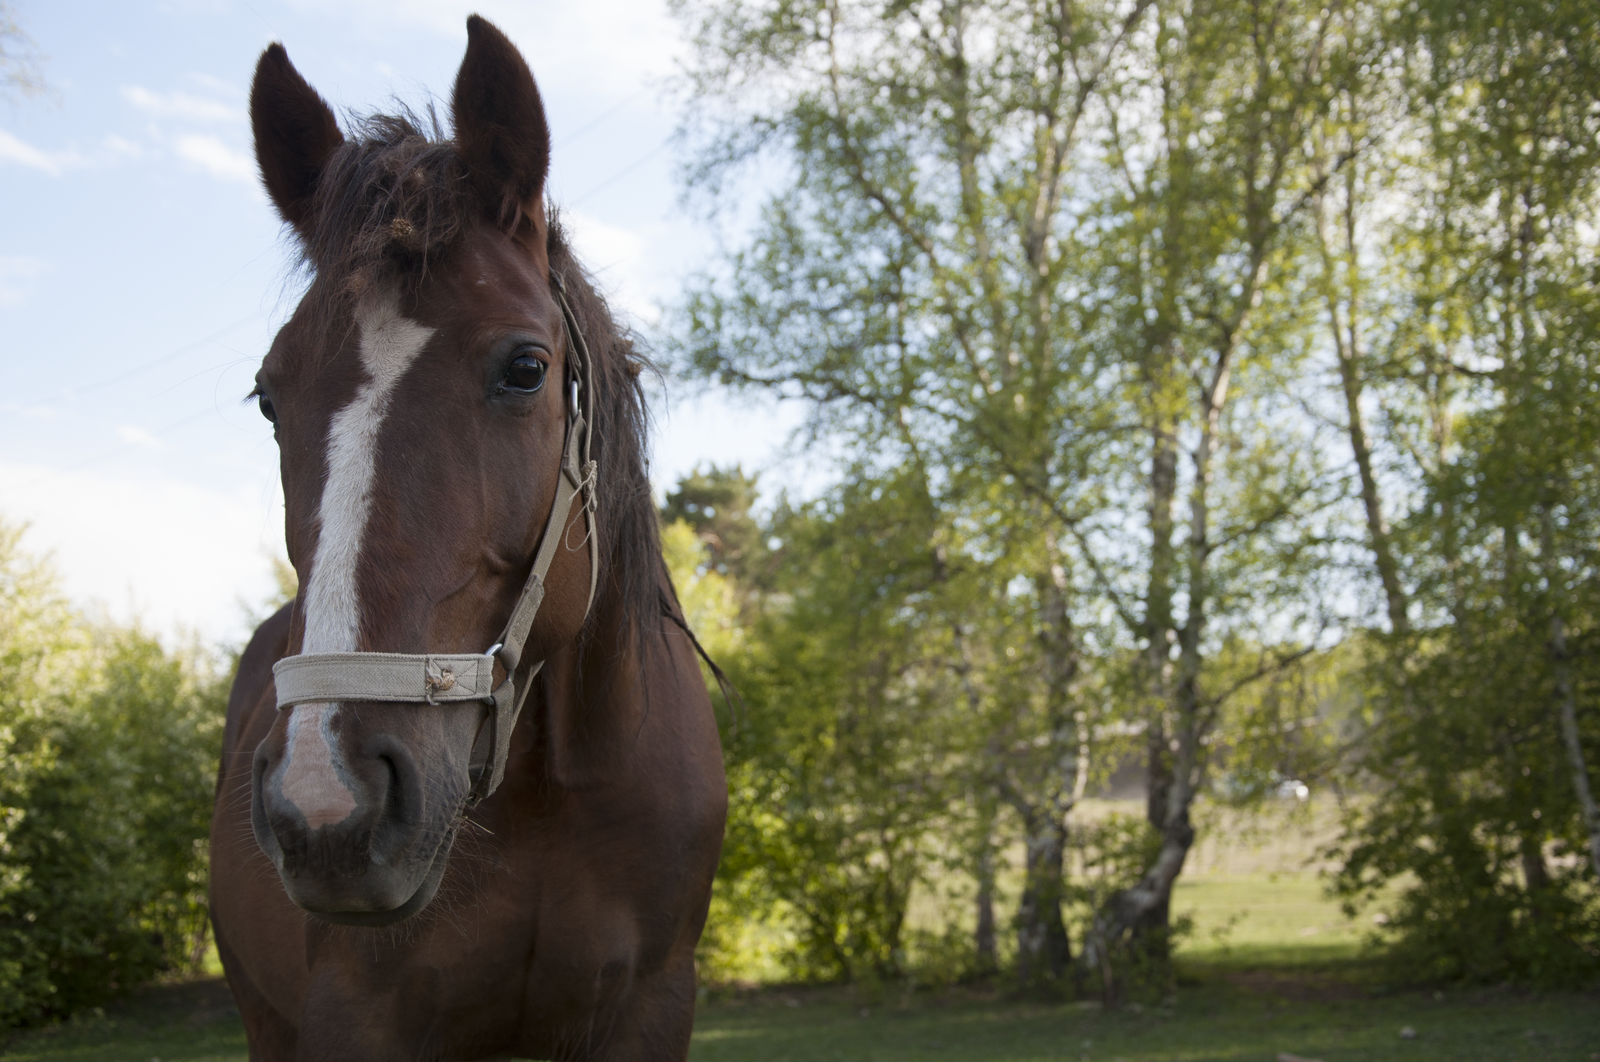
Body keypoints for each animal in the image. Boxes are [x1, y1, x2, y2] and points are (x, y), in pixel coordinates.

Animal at [206, 18, 726, 1062]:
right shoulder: (351, 1021)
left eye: (526, 368)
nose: (327, 802)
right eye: (269, 396)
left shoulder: (654, 1006)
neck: (546, 797)